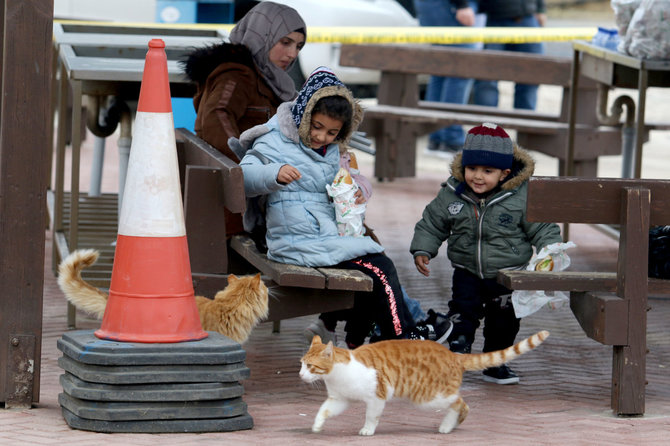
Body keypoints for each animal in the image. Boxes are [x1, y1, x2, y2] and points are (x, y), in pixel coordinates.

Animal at [300, 332, 552, 436]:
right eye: (301, 364)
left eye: (310, 366)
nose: (301, 376)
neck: (336, 375)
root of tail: (453, 355)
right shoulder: (340, 399)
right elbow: (323, 411)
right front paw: (317, 426)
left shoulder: (376, 397)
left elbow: (372, 416)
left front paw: (368, 430)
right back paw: (450, 425)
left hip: (427, 396)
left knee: (461, 403)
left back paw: (450, 424)